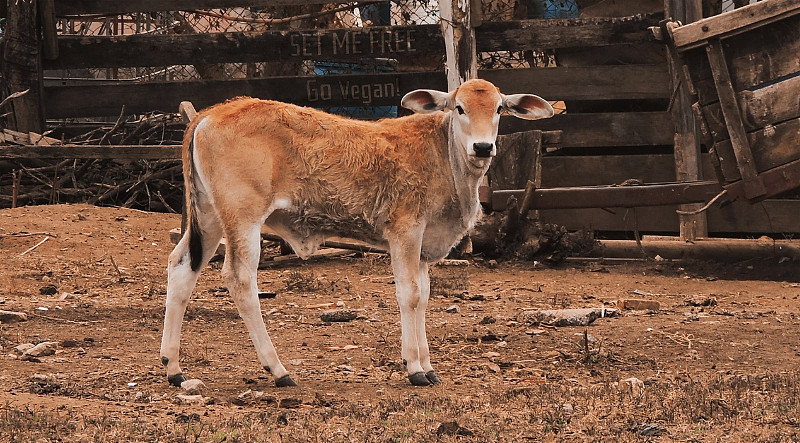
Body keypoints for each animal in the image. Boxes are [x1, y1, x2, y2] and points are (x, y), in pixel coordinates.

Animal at [159, 78, 552, 386]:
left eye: (499, 109)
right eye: (459, 108)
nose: (483, 147)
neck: (443, 156)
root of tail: (209, 114)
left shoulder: (425, 245)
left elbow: (425, 295)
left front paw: (427, 364)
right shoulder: (405, 232)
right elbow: (410, 295)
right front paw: (415, 368)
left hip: (210, 216)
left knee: (181, 266)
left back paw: (174, 368)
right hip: (243, 218)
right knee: (240, 279)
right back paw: (278, 370)